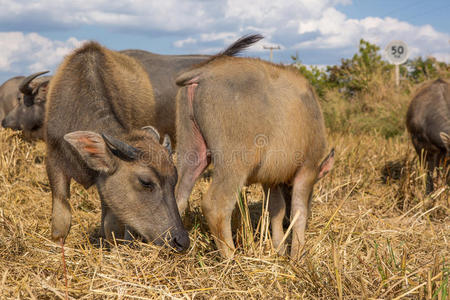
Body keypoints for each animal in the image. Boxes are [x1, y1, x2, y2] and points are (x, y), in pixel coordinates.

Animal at [46, 41, 191, 250]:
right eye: (145, 182)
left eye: (175, 179)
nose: (181, 240)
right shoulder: (54, 162)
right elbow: (61, 220)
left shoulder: (103, 181)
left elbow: (111, 226)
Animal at [175, 34, 334, 258]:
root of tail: (206, 71)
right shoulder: (307, 169)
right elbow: (298, 211)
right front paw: (297, 255)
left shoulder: (271, 179)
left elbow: (276, 210)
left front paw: (279, 248)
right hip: (234, 162)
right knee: (216, 204)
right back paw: (232, 257)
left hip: (191, 149)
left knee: (179, 194)